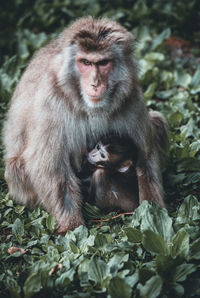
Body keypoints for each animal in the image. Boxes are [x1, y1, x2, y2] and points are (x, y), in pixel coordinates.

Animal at [3, 16, 169, 233]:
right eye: (86, 62)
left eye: (103, 62)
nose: (95, 83)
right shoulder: (51, 101)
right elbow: (49, 165)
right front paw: (72, 226)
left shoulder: (130, 94)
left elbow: (145, 155)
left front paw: (153, 211)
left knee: (156, 122)